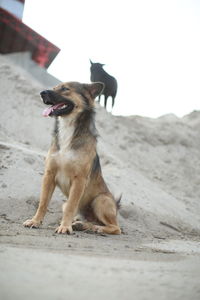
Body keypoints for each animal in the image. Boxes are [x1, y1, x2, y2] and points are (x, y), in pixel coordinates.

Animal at [23, 81, 120, 234]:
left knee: (115, 228)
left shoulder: (79, 180)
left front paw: (65, 227)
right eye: (54, 87)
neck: (68, 127)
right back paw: (81, 224)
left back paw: (94, 227)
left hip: (101, 200)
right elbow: (43, 202)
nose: (42, 93)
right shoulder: (49, 175)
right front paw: (35, 221)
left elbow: (71, 206)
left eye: (65, 88)